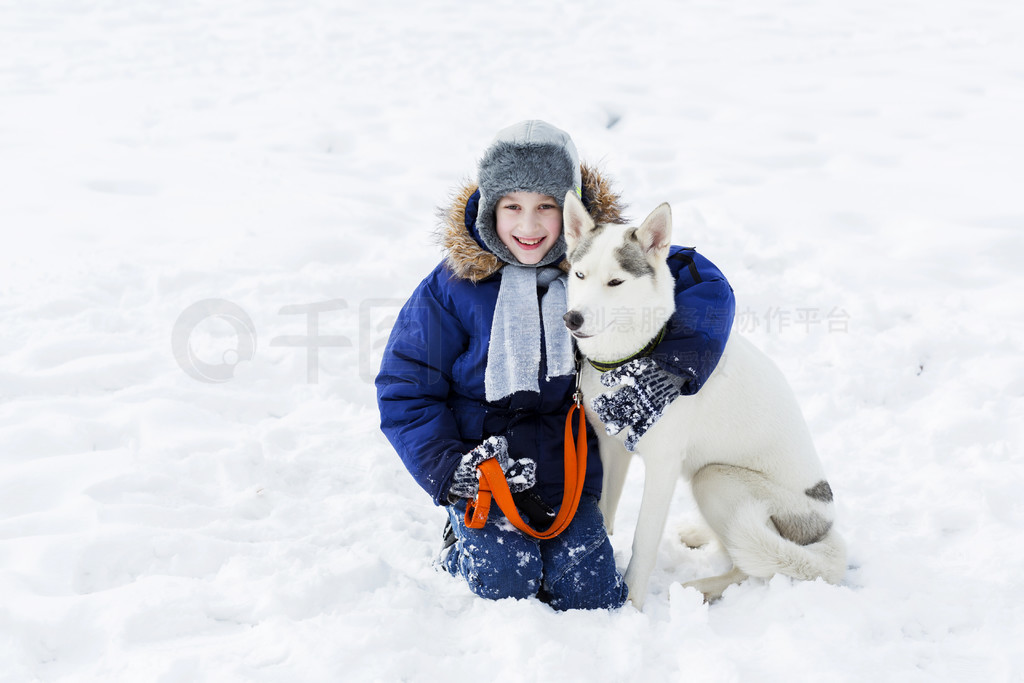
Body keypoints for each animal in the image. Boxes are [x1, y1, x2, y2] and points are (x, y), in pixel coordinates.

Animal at [565, 192, 843, 610]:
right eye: (579, 275)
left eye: (615, 281)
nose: (572, 318)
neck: (635, 356)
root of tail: (826, 528)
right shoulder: (614, 449)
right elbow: (605, 514)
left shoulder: (662, 466)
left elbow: (644, 544)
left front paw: (631, 605)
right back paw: (698, 535)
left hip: (713, 478)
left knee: (750, 565)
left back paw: (700, 589)